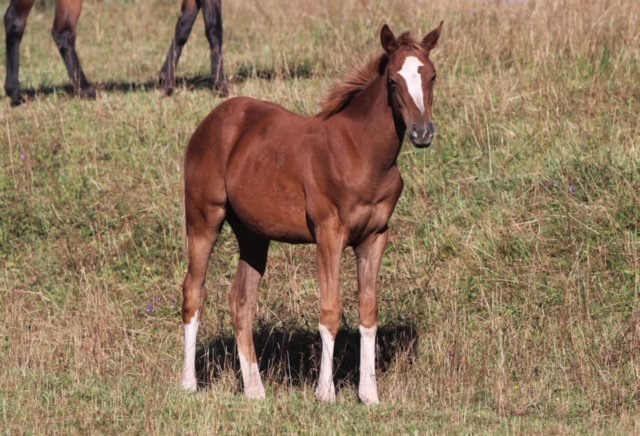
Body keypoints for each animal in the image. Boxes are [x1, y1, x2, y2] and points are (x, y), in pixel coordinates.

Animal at [1, 0, 228, 105]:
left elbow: (183, 27)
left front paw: (166, 82)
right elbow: (214, 29)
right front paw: (222, 87)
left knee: (58, 31)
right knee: (20, 22)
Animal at [178, 20, 442, 402]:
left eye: (432, 76)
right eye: (393, 80)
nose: (422, 133)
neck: (360, 152)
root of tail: (210, 122)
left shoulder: (375, 237)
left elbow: (368, 312)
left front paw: (370, 396)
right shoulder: (329, 234)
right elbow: (331, 311)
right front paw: (325, 394)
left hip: (254, 234)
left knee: (242, 300)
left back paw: (255, 390)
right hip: (203, 219)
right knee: (193, 292)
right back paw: (188, 384)